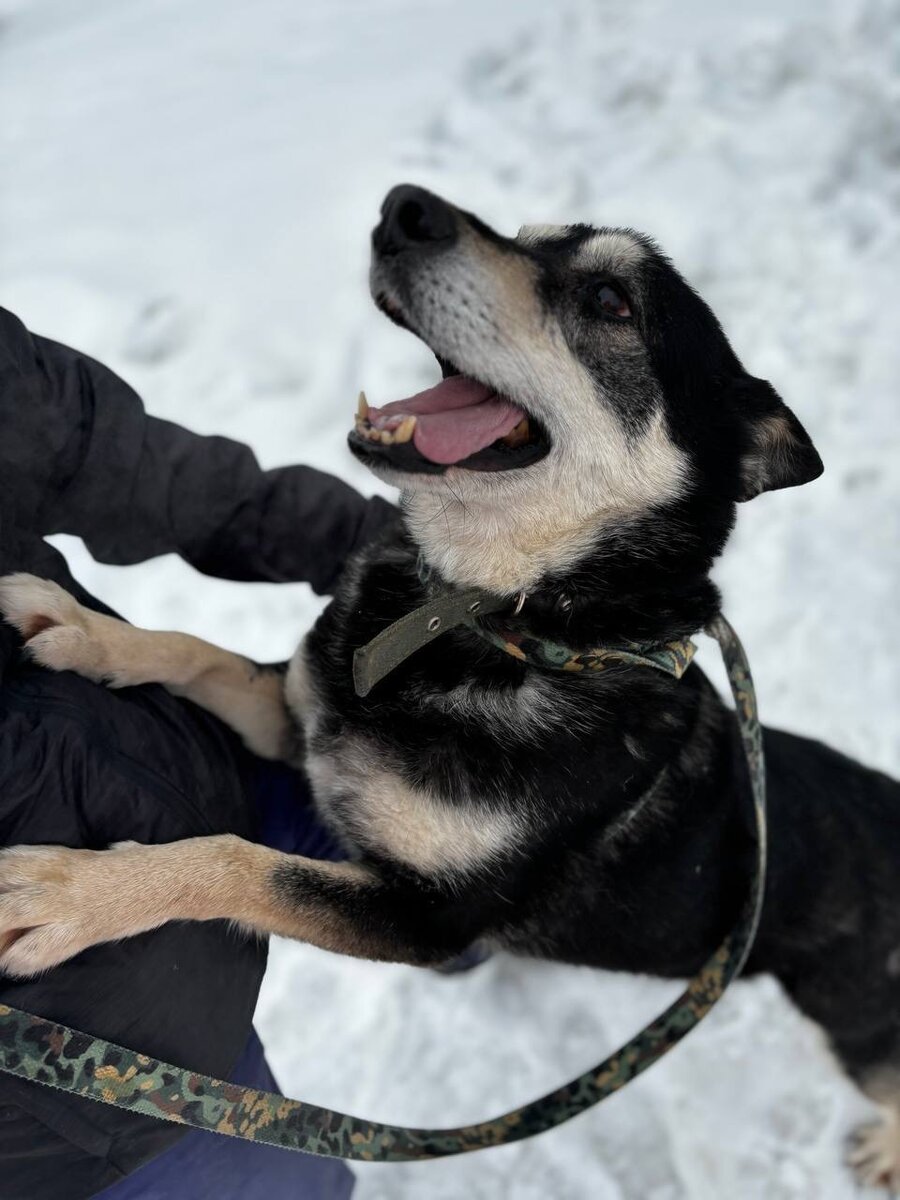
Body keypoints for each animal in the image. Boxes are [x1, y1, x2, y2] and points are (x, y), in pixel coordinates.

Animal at [1, 182, 900, 1185]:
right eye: (527, 234)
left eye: (611, 302)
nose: (406, 209)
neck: (496, 621)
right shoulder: (304, 722)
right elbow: (203, 653)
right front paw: (85, 630)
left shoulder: (426, 918)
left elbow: (238, 863)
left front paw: (67, 896)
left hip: (858, 1021)